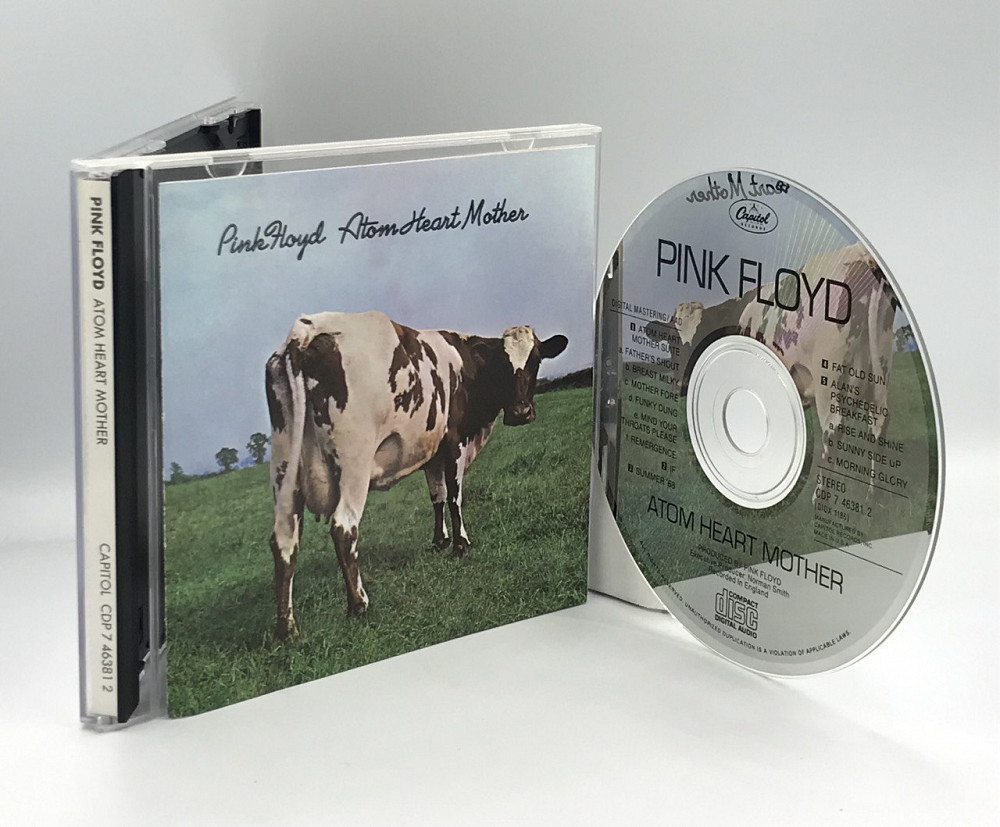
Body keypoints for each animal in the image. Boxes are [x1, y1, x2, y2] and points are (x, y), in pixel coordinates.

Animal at [264, 310, 568, 638]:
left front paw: (440, 540)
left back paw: (286, 627)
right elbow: (455, 497)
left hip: (284, 469)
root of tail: (307, 330)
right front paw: (461, 544)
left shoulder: (432, 452)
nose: (520, 412)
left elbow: (437, 496)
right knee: (343, 529)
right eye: (503, 363)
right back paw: (358, 604)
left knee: (283, 541)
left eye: (536, 361)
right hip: (353, 463)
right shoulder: (455, 441)